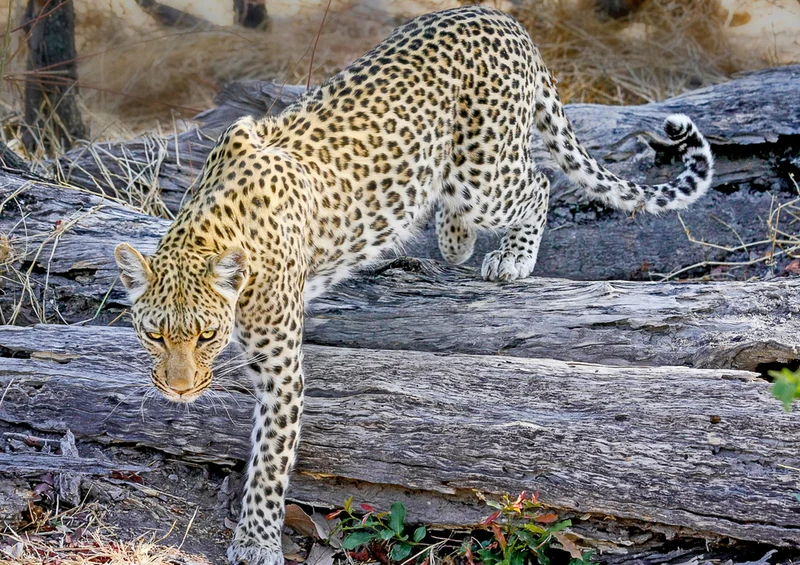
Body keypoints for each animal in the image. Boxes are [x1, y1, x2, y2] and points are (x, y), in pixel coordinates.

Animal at [114, 5, 713, 564]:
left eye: (207, 336)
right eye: (156, 336)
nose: (179, 390)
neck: (211, 229)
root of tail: (500, 18)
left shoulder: (280, 367)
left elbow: (270, 459)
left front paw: (256, 540)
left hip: (484, 173)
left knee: (538, 181)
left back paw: (510, 257)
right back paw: (454, 238)